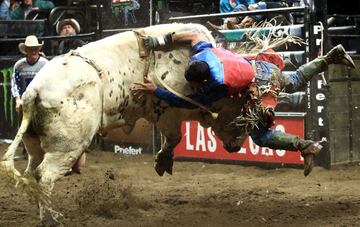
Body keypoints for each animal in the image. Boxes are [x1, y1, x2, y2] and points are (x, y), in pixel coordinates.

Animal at [0, 23, 250, 225]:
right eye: (240, 115)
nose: (236, 147)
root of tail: (32, 91)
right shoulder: (167, 111)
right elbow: (174, 137)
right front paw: (162, 161)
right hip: (67, 146)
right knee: (44, 175)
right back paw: (51, 219)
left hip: (35, 143)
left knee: (31, 172)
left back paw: (45, 212)